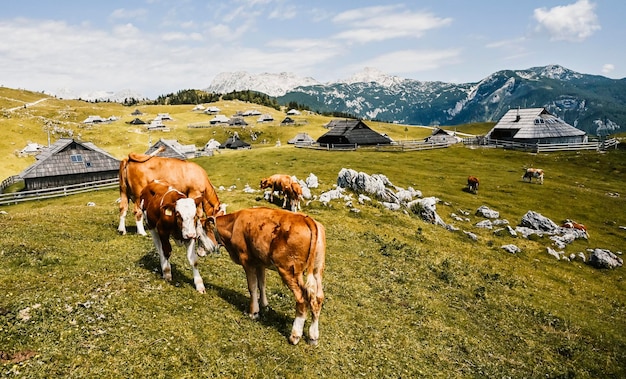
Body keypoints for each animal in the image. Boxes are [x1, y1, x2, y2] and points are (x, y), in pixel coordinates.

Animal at [204, 208, 324, 348]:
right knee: (318, 299)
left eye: (199, 230)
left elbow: (252, 287)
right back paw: (313, 336)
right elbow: (262, 284)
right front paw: (264, 305)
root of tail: (307, 219)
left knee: (301, 298)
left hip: (289, 270)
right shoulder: (260, 262)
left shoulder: (247, 261)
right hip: (317, 270)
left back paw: (295, 336)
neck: (233, 224)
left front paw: (254, 312)